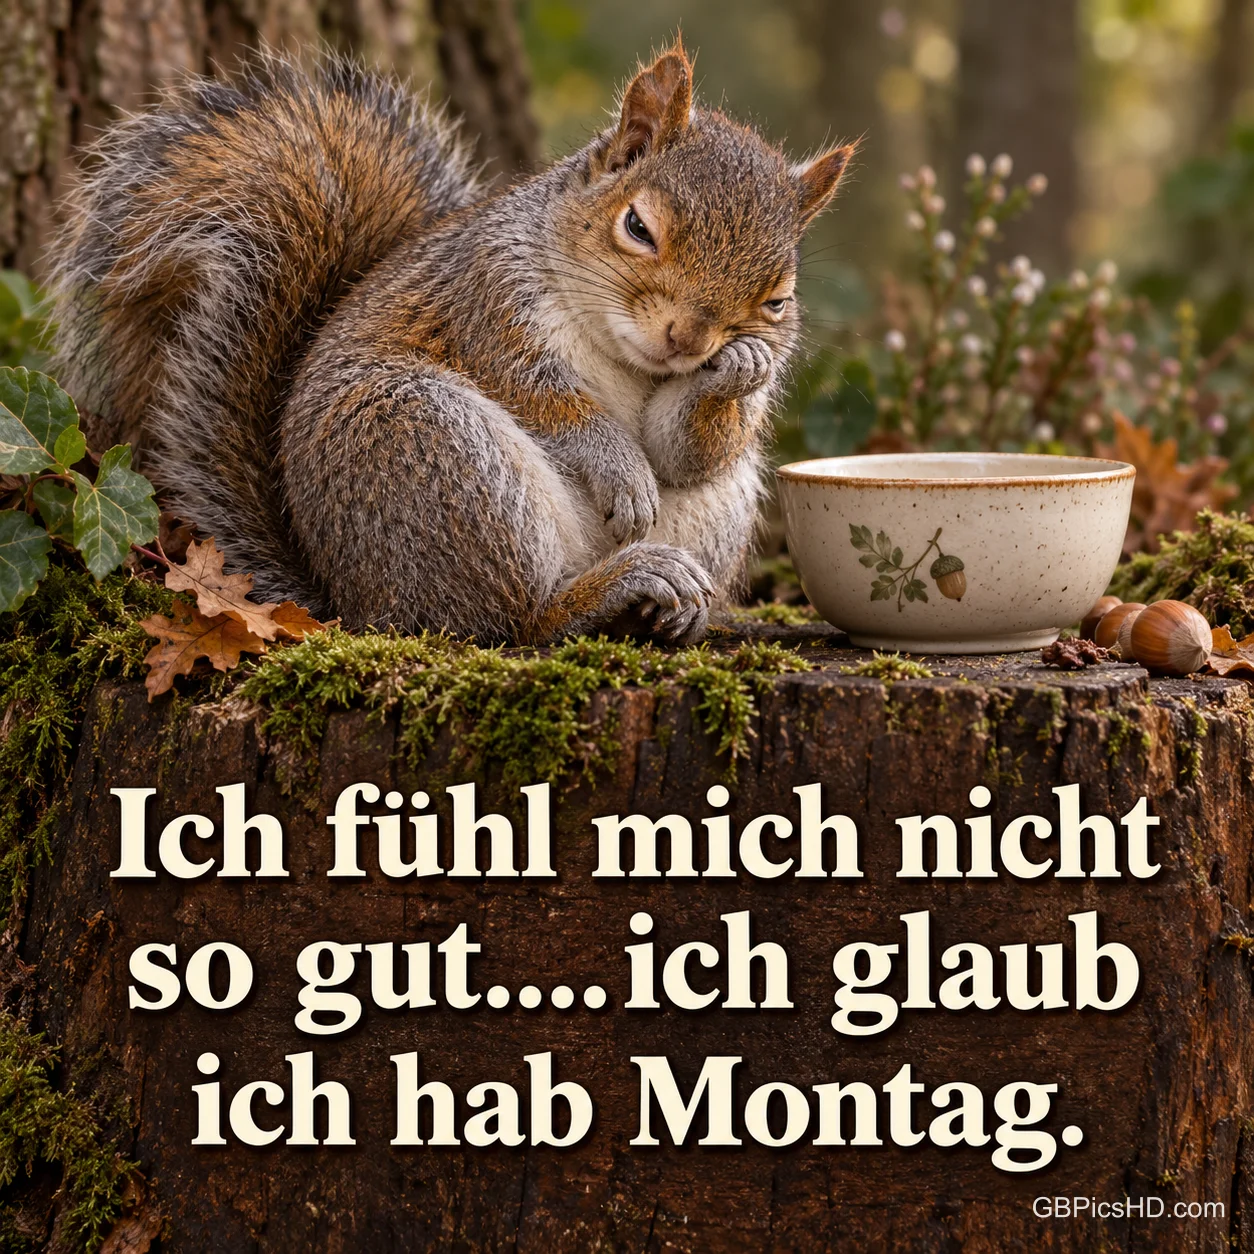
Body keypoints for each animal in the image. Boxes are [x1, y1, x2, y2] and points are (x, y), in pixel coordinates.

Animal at [52, 42, 854, 645]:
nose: (688, 339)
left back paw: (668, 611)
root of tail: (354, 601)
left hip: (709, 505)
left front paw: (737, 372)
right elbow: (550, 404)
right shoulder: (486, 306)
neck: (621, 351)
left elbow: (681, 451)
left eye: (777, 300)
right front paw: (623, 470)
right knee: (512, 622)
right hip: (432, 447)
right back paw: (608, 589)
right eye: (637, 227)